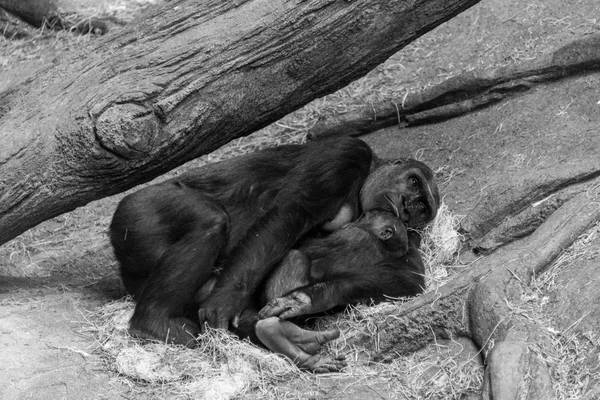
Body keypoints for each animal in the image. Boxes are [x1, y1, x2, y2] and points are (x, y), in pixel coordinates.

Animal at [256, 209, 422, 322]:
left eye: (364, 217)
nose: (356, 218)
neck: (384, 245)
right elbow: (409, 281)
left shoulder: (350, 233)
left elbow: (308, 246)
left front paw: (302, 299)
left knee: (295, 257)